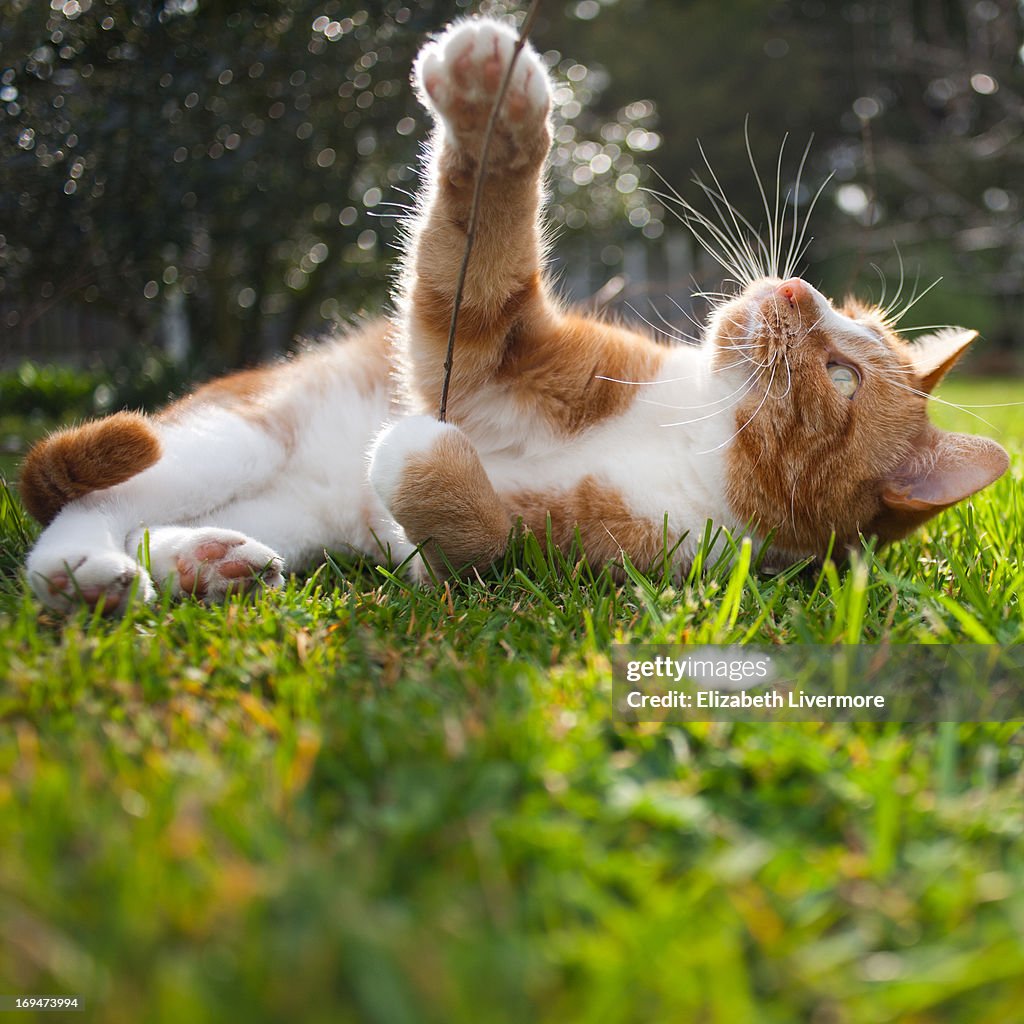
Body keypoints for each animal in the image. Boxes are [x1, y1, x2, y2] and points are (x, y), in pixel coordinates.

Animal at [16, 16, 1007, 610]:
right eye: (840, 315)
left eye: (841, 374)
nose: (794, 289)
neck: (690, 437)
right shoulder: (500, 345)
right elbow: (479, 249)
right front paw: (496, 106)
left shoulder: (551, 561)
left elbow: (481, 536)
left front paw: (426, 460)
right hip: (238, 430)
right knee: (101, 493)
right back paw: (108, 566)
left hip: (286, 509)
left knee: (115, 519)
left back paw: (148, 569)